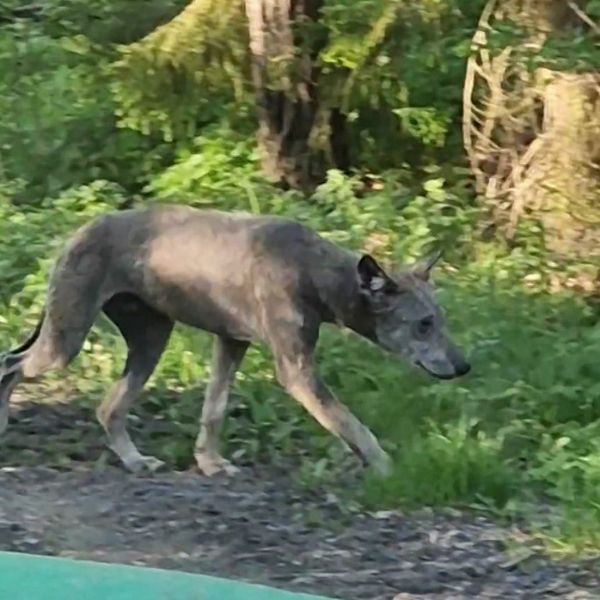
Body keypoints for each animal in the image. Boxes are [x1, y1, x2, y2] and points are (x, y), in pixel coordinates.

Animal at [0, 206, 468, 478]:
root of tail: (75, 234)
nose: (465, 366)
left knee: (107, 407)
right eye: (423, 324)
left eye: (441, 320)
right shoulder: (297, 372)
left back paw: (135, 461)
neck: (314, 271)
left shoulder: (230, 344)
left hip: (150, 341)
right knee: (10, 363)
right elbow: (353, 424)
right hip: (64, 343)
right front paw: (388, 467)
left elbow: (214, 411)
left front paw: (209, 463)